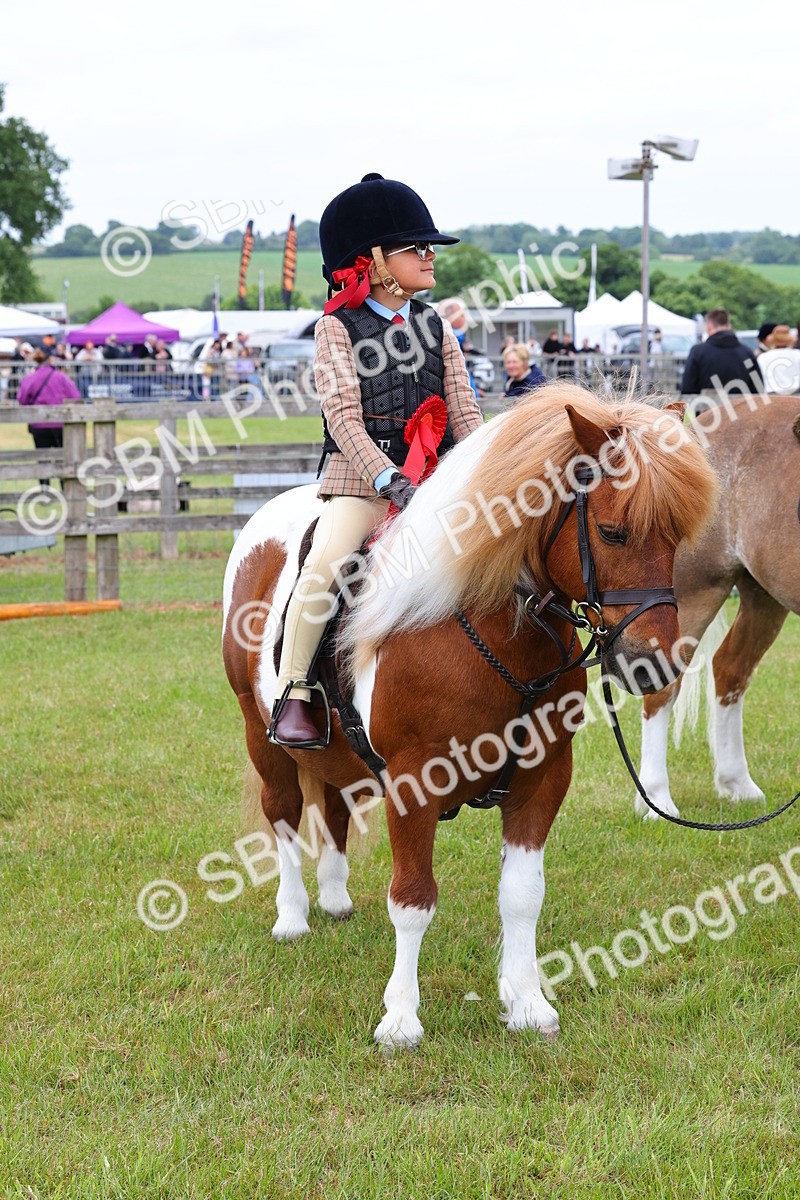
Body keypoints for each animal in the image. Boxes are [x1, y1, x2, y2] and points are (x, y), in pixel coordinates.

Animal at [222, 380, 717, 1048]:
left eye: (675, 535)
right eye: (613, 533)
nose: (654, 664)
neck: (491, 631)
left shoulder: (542, 779)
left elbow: (522, 895)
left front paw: (527, 1002)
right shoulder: (413, 785)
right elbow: (412, 899)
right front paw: (401, 1018)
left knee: (335, 803)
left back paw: (334, 896)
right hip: (262, 734)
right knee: (284, 813)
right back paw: (293, 915)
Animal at [637, 393, 800, 819]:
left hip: (764, 596)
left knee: (730, 669)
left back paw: (737, 784)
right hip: (696, 594)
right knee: (664, 688)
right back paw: (656, 798)